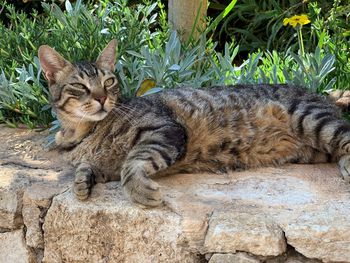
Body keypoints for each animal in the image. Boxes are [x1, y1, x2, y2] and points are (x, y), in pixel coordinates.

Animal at [38, 40, 350, 207]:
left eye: (109, 82)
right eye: (80, 86)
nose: (102, 98)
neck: (82, 133)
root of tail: (322, 94)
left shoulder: (165, 129)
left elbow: (133, 162)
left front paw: (138, 189)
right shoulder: (104, 164)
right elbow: (89, 167)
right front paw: (81, 181)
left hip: (312, 119)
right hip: (313, 148)